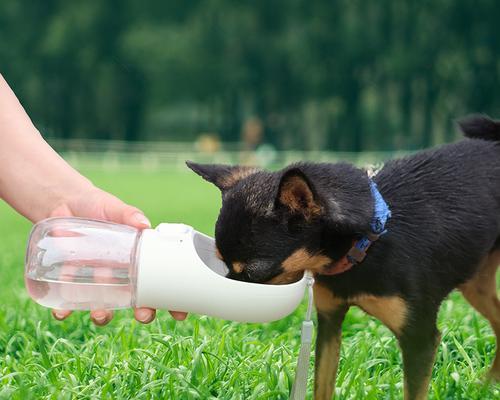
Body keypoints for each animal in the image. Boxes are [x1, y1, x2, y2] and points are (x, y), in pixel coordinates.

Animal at [187, 114, 500, 398]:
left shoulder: (419, 339)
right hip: (475, 285)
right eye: (221, 265)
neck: (370, 238)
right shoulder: (330, 321)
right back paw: (486, 387)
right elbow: (322, 386)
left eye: (254, 273)